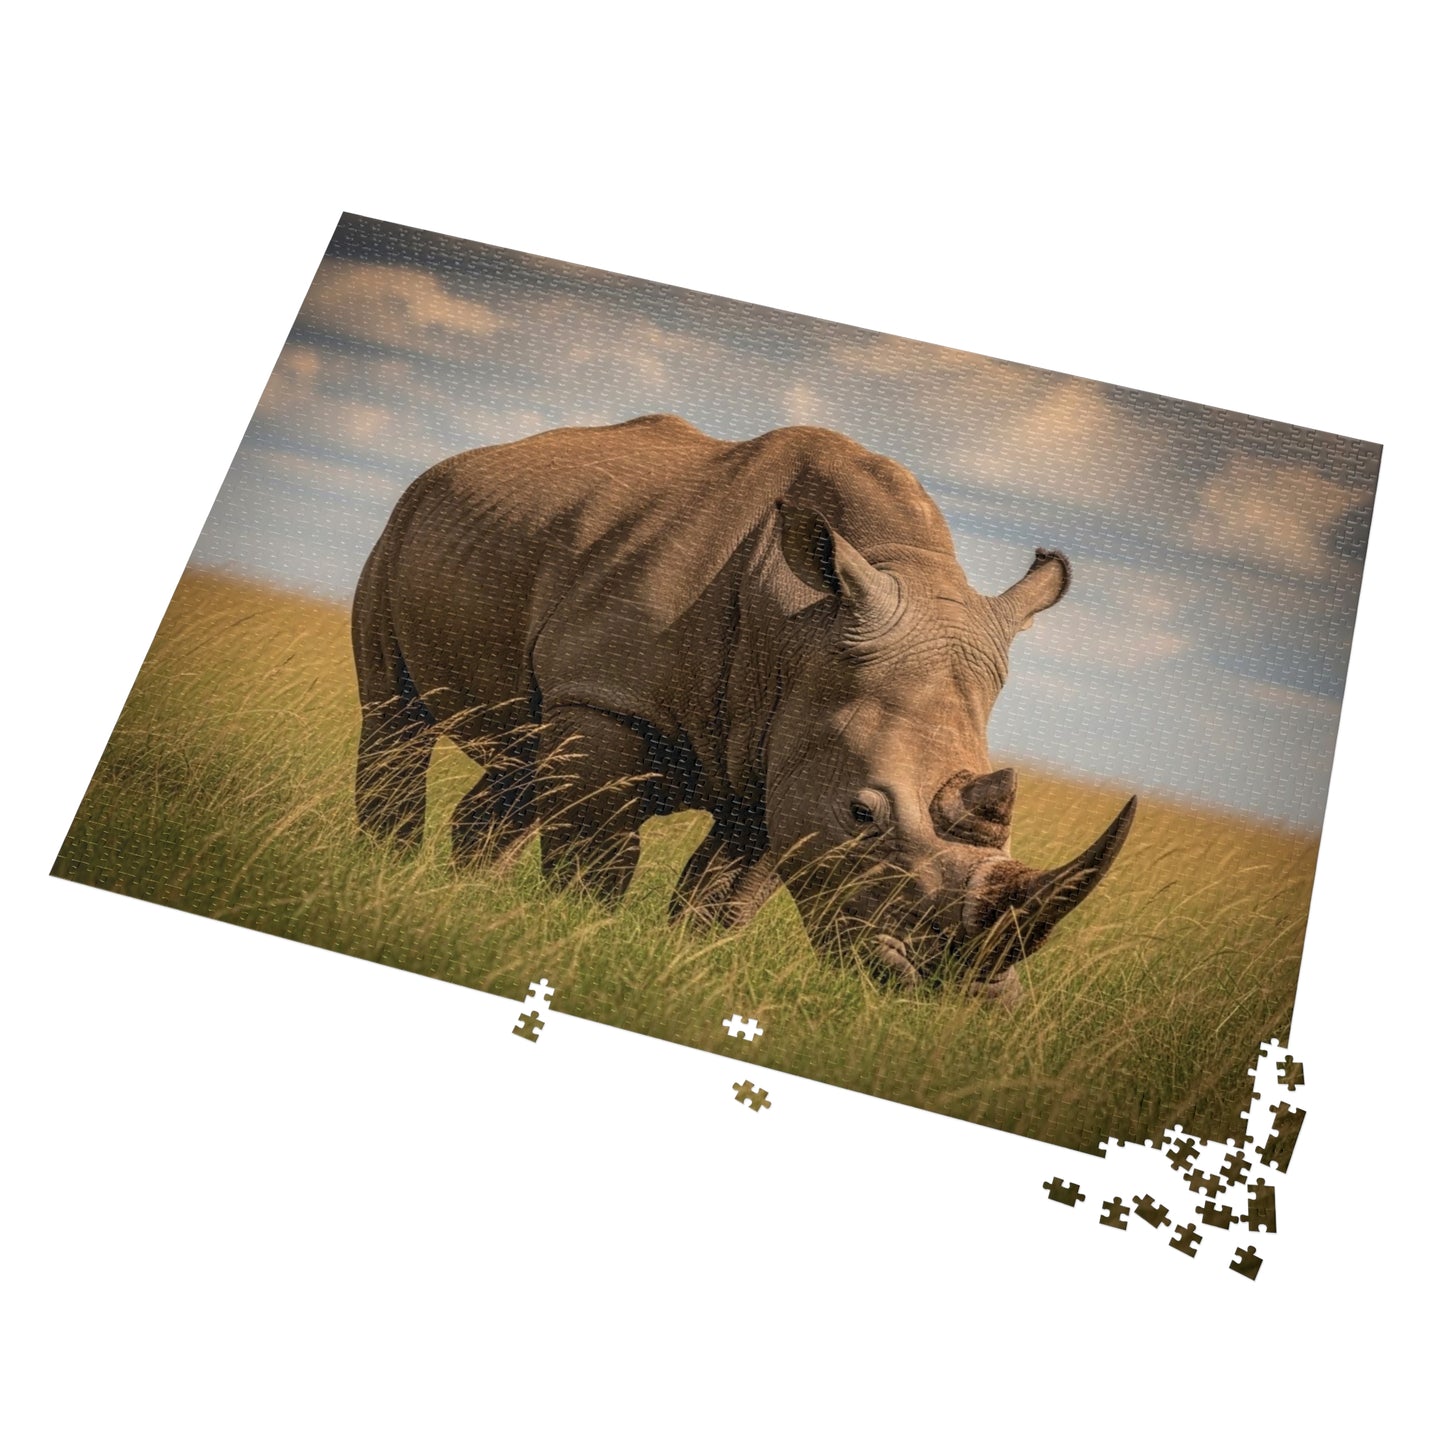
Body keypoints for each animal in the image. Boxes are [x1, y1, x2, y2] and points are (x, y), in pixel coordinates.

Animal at [351, 413, 1135, 994]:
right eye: (862, 814)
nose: (953, 990)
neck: (804, 629)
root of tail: (474, 457)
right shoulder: (611, 700)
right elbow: (596, 857)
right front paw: (575, 935)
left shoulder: (784, 757)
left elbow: (726, 895)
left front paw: (682, 966)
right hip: (405, 520)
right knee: (396, 715)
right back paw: (388, 870)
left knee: (524, 758)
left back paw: (459, 893)